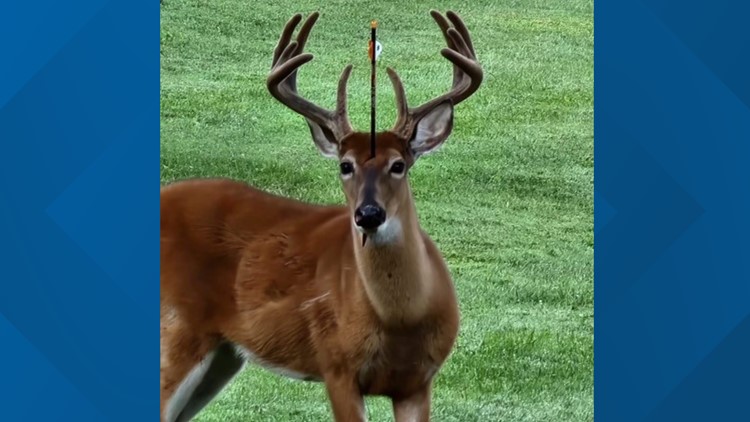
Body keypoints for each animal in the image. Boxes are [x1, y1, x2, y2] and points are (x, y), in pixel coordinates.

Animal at [160, 9, 482, 422]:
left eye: (398, 165)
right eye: (345, 165)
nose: (368, 214)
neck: (401, 319)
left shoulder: (418, 382)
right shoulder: (337, 365)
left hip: (222, 354)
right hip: (176, 328)